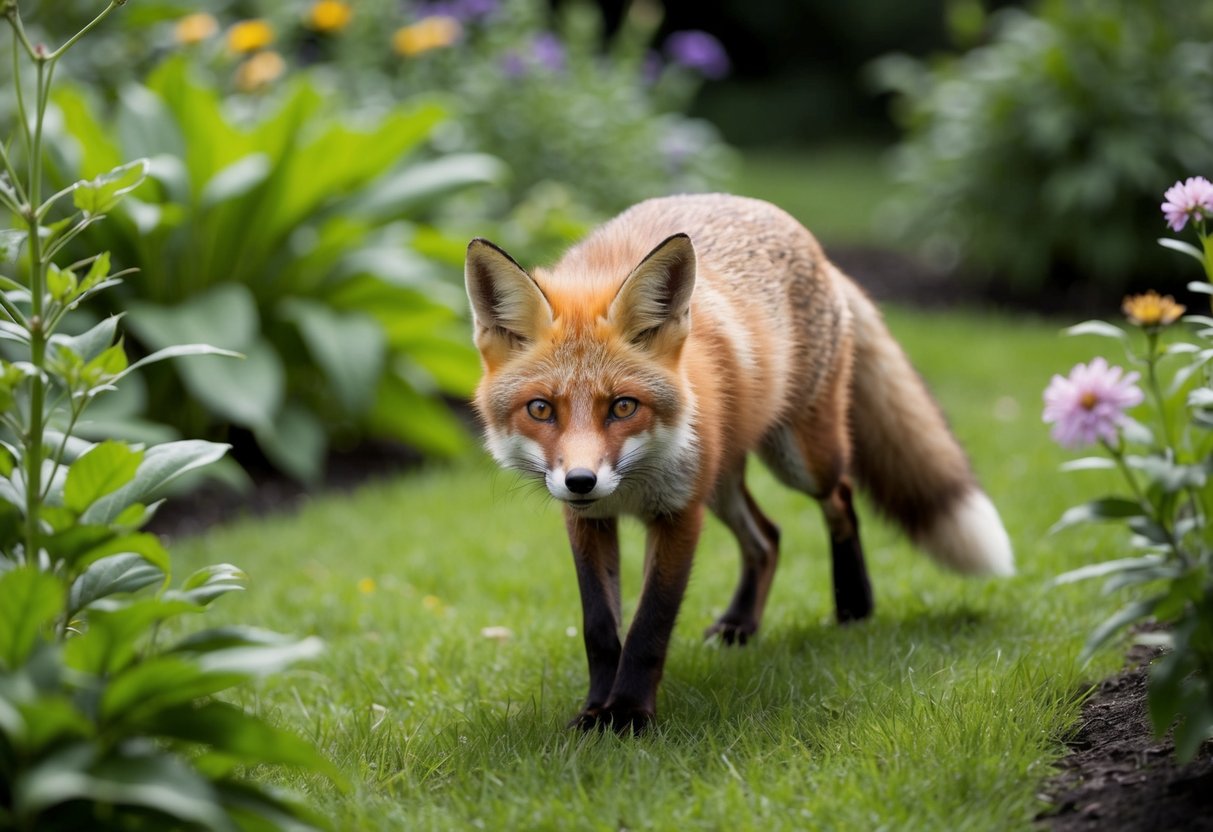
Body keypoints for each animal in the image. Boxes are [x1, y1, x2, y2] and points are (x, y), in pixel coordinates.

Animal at [464, 193, 1014, 733]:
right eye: (541, 409)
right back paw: (741, 624)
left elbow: (649, 626)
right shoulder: (588, 521)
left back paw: (854, 605)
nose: (581, 481)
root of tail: (813, 245)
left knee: (840, 499)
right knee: (767, 537)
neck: (631, 489)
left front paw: (630, 715)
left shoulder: (679, 514)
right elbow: (601, 628)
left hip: (801, 460)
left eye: (623, 406)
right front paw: (596, 710)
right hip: (722, 482)